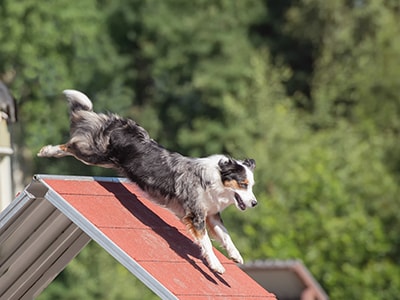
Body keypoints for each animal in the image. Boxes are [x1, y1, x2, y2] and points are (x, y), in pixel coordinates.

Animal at [37, 89, 256, 274]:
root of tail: (120, 123)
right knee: (71, 145)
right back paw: (47, 150)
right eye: (243, 184)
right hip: (95, 154)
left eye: (252, 186)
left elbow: (226, 236)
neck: (214, 180)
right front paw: (216, 266)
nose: (254, 203)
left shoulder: (211, 215)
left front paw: (236, 255)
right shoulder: (196, 215)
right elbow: (207, 243)